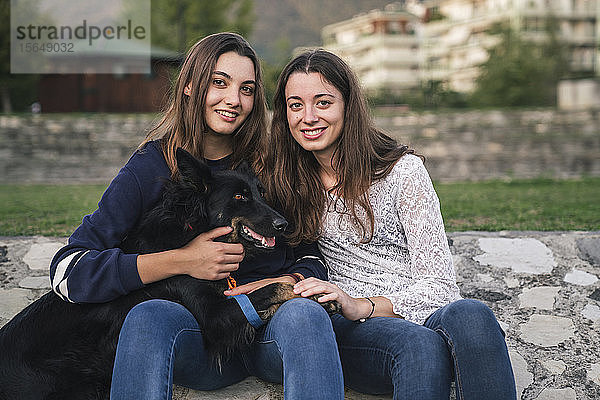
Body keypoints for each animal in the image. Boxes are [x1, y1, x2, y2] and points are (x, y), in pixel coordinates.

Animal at [0, 149, 338, 400]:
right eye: (240, 197)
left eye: (260, 193)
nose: (285, 225)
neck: (193, 230)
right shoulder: (215, 315)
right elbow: (270, 288)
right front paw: (314, 295)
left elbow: (262, 288)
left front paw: (320, 294)